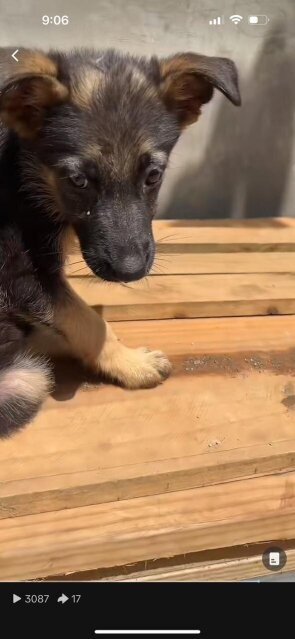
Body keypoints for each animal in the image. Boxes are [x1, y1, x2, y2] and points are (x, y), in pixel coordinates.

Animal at [0, 46, 242, 436]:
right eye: (79, 181)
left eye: (153, 176)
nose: (130, 272)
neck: (20, 175)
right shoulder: (17, 271)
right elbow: (87, 320)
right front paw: (131, 364)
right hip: (26, 380)